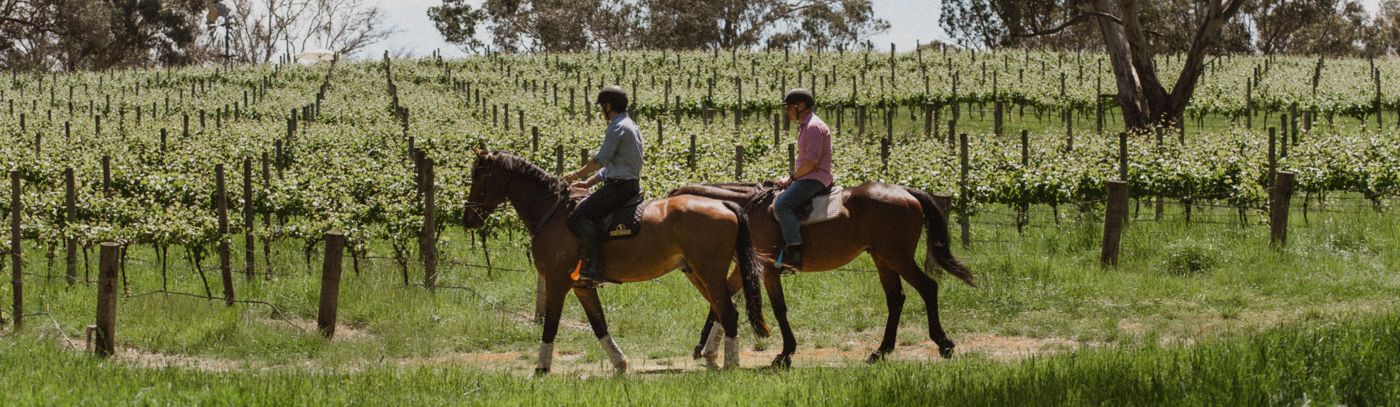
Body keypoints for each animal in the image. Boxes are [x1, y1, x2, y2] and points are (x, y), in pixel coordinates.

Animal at [462, 150, 770, 374]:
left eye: (480, 178)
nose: (468, 219)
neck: (553, 213)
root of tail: (725, 204)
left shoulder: (557, 283)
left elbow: (551, 326)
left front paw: (541, 369)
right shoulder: (582, 287)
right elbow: (599, 326)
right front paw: (620, 364)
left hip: (709, 272)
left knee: (728, 313)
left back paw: (729, 365)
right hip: (697, 273)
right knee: (722, 310)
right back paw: (715, 358)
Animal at [668, 181, 976, 367]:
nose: (684, 265)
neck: (745, 209)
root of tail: (908, 192)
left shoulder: (767, 269)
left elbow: (778, 309)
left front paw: (785, 354)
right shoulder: (742, 269)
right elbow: (718, 303)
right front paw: (702, 346)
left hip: (898, 257)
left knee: (928, 287)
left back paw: (943, 344)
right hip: (883, 259)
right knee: (896, 299)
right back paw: (880, 351)